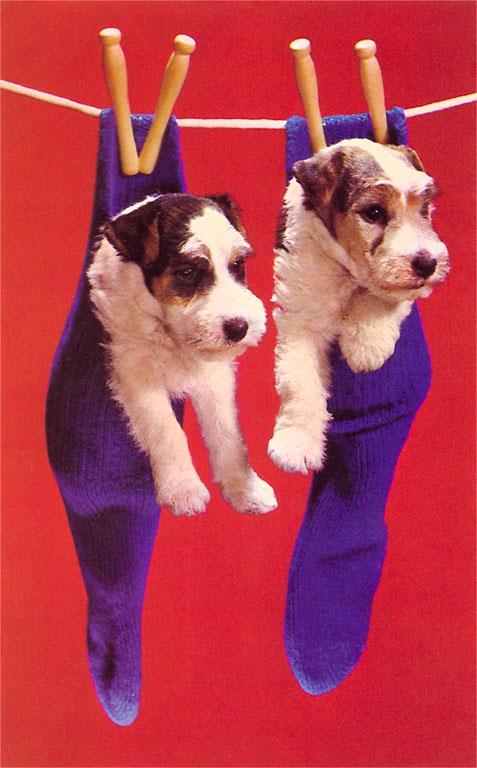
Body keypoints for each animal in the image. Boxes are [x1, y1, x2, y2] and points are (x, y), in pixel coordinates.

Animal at [88, 192, 277, 516]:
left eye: (237, 264)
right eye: (188, 272)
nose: (239, 327)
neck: (169, 334)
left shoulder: (213, 376)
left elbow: (226, 431)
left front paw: (246, 489)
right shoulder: (136, 372)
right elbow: (168, 430)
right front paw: (183, 490)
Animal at [268, 138, 450, 474]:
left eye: (424, 209)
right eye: (374, 212)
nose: (427, 264)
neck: (345, 271)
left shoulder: (392, 286)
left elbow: (380, 293)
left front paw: (365, 347)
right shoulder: (300, 316)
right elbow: (300, 382)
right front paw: (296, 445)